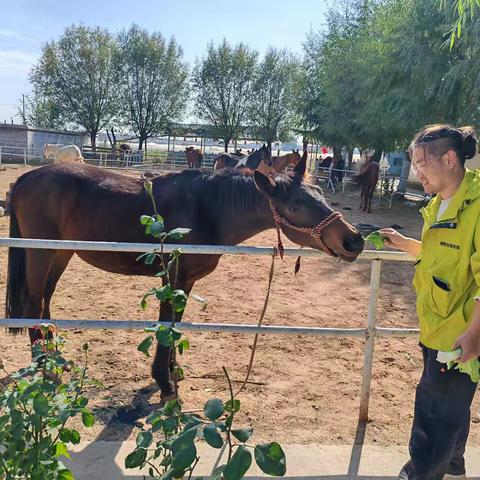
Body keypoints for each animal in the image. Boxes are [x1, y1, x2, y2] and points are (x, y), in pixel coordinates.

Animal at [4, 156, 364, 400]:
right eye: (296, 205)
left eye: (320, 193)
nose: (354, 241)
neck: (207, 209)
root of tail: (27, 177)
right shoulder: (172, 278)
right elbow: (166, 325)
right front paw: (164, 383)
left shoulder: (187, 282)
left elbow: (176, 323)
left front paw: (174, 373)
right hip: (40, 253)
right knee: (33, 303)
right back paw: (44, 369)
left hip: (60, 253)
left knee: (45, 299)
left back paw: (57, 359)